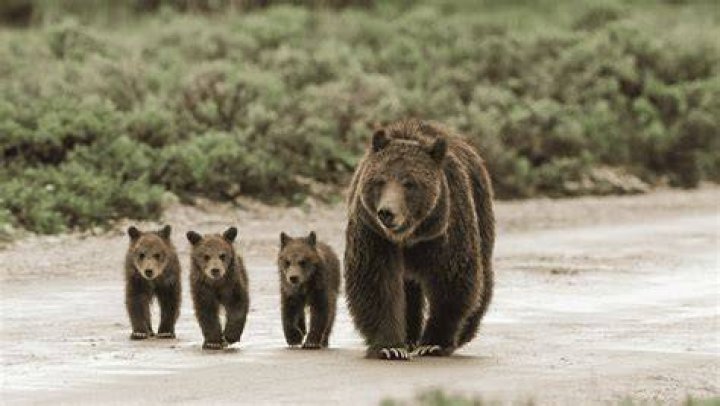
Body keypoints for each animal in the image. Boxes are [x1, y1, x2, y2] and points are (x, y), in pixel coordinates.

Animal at [344, 119, 495, 360]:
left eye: (409, 183)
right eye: (380, 180)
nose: (386, 212)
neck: (409, 236)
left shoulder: (444, 230)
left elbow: (452, 280)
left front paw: (433, 343)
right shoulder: (373, 233)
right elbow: (376, 282)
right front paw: (390, 347)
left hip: (480, 208)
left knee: (482, 277)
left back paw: (464, 332)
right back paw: (409, 337)